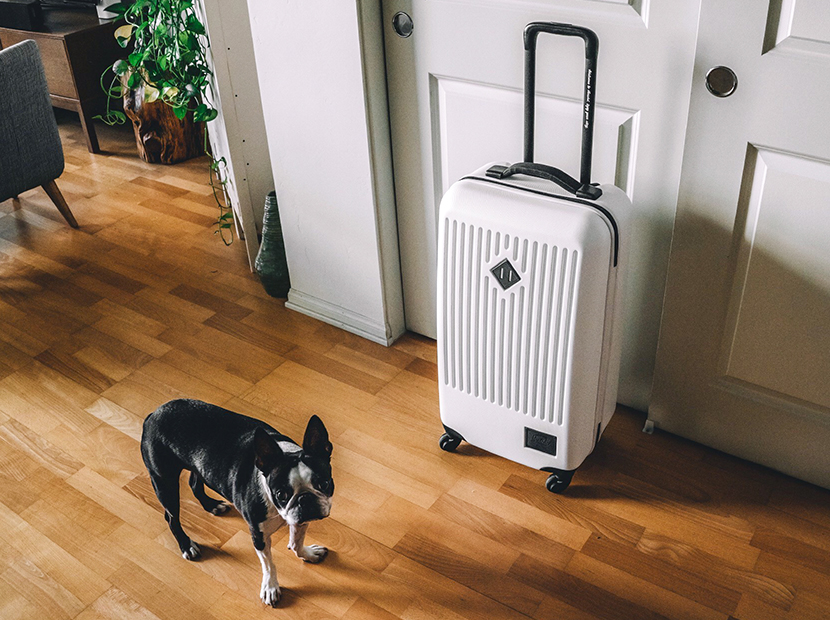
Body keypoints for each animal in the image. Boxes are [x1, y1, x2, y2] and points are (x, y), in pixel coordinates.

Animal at [141, 398, 334, 604]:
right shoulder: (258, 536)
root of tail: (153, 415)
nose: (305, 499)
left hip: (199, 467)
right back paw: (187, 545)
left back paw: (212, 505)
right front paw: (270, 587)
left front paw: (308, 554)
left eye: (324, 483)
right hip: (164, 481)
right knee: (171, 518)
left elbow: (297, 542)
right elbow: (268, 564)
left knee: (194, 483)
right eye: (281, 494)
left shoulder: (300, 520)